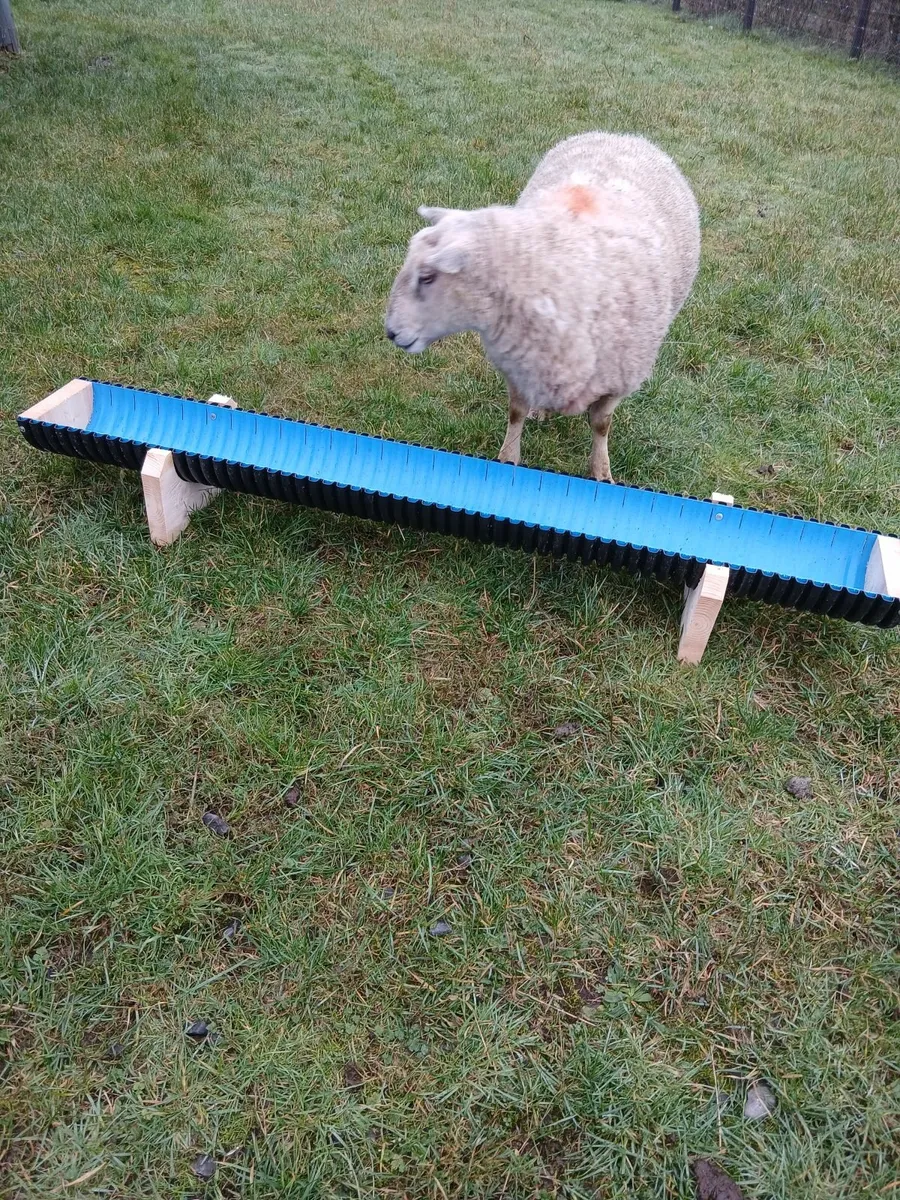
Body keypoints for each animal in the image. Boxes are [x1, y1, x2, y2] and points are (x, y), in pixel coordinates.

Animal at [384, 131, 700, 483]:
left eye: (427, 277)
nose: (391, 332)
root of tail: (620, 135)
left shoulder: (618, 380)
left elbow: (601, 425)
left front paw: (601, 472)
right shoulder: (518, 364)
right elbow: (516, 411)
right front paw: (508, 458)